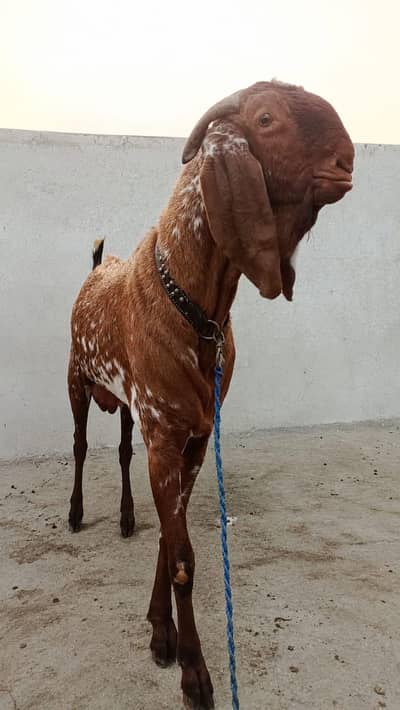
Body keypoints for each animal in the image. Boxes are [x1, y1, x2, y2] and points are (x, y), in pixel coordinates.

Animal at [68, 80, 354, 709]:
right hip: (76, 380)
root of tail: (98, 269)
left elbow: (168, 538)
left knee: (120, 449)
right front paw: (194, 674)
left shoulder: (193, 436)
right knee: (77, 446)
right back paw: (74, 514)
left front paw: (160, 630)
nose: (347, 162)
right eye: (266, 118)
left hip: (130, 411)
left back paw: (126, 516)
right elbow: (182, 559)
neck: (194, 303)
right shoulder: (165, 437)